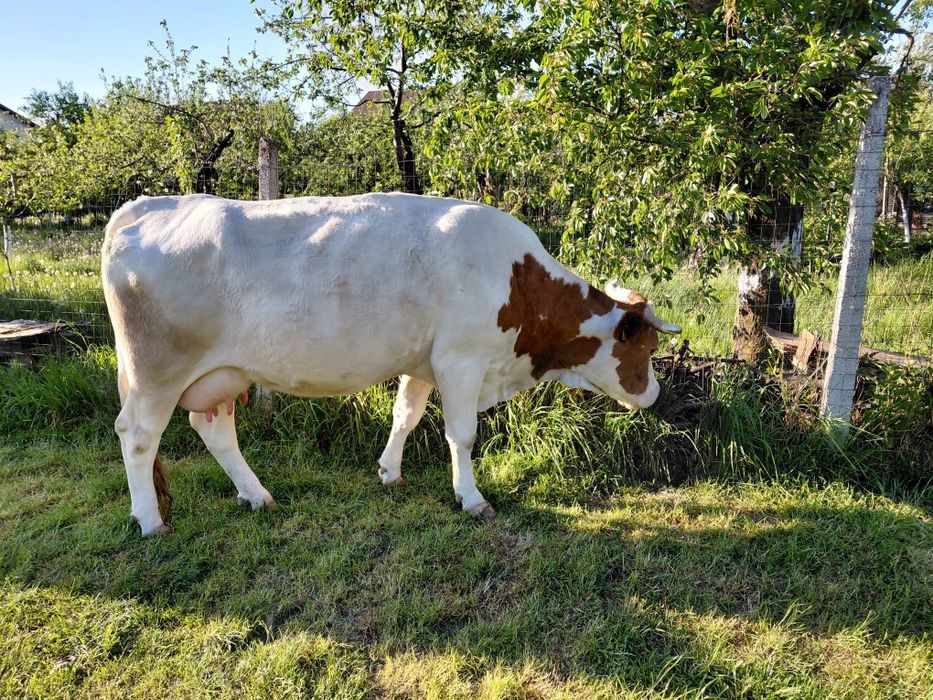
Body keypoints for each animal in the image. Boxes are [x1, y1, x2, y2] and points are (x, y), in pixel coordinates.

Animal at [102, 193, 681, 536]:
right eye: (648, 349)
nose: (655, 395)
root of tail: (144, 206)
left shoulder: (422, 361)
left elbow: (406, 416)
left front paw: (390, 472)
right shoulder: (461, 359)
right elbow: (462, 435)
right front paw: (471, 498)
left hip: (220, 375)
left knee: (214, 430)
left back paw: (258, 495)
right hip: (157, 370)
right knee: (137, 436)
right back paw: (150, 520)